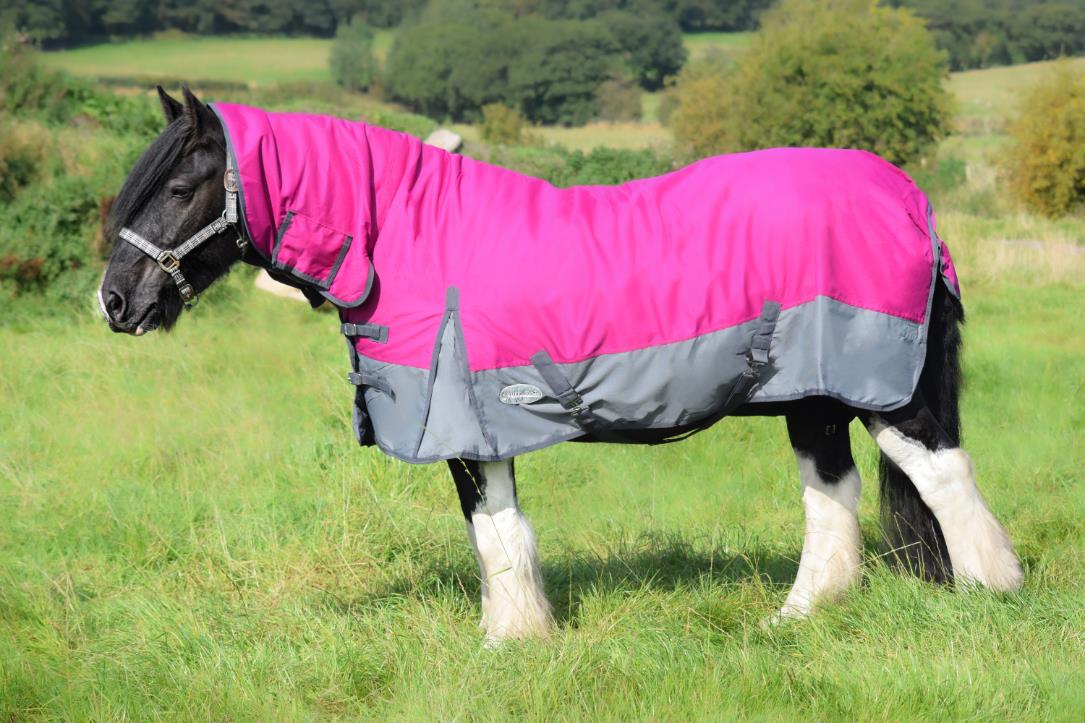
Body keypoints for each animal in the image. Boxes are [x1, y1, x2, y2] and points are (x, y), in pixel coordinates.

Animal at [98, 87, 1023, 644]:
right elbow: (494, 530)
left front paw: (509, 639)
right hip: (814, 395)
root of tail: (910, 200)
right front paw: (517, 632)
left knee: (941, 475)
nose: (114, 302)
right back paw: (794, 617)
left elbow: (495, 529)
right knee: (832, 491)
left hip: (883, 388)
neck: (406, 234)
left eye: (177, 187)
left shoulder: (463, 420)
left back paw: (990, 593)